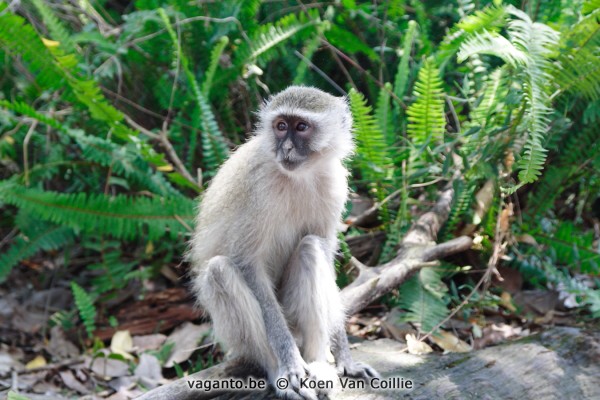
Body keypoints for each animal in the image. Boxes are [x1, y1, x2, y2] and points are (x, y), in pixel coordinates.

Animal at [191, 86, 380, 398]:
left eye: (301, 127)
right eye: (281, 126)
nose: (287, 149)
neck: (300, 177)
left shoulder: (334, 184)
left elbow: (325, 255)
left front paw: (345, 358)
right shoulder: (258, 188)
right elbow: (247, 264)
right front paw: (290, 364)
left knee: (310, 249)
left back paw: (317, 363)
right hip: (237, 339)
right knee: (219, 271)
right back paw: (279, 371)